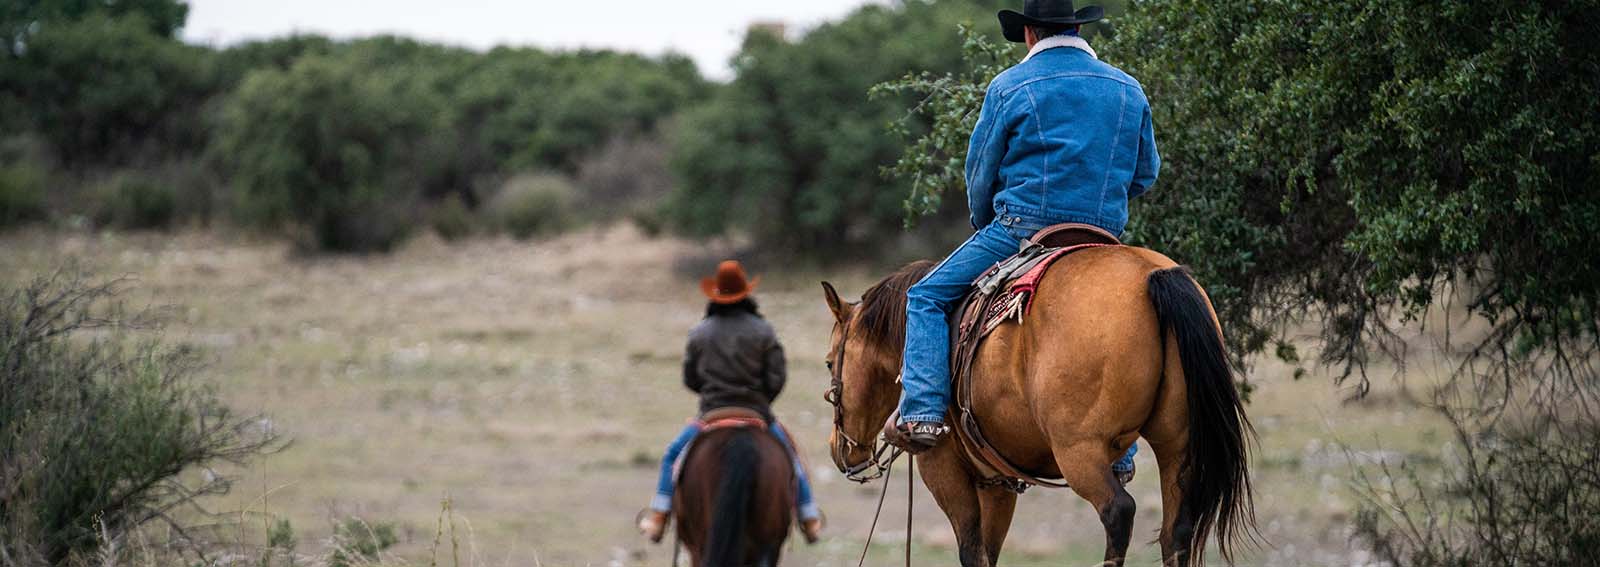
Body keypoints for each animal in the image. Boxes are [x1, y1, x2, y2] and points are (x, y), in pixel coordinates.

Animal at [825, 238, 1260, 563]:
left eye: (830, 361)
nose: (841, 451)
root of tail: (1152, 275)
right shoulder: (996, 482)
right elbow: (988, 552)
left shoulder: (944, 469)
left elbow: (970, 550)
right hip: (1177, 445)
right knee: (1177, 531)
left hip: (1079, 451)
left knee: (1118, 512)